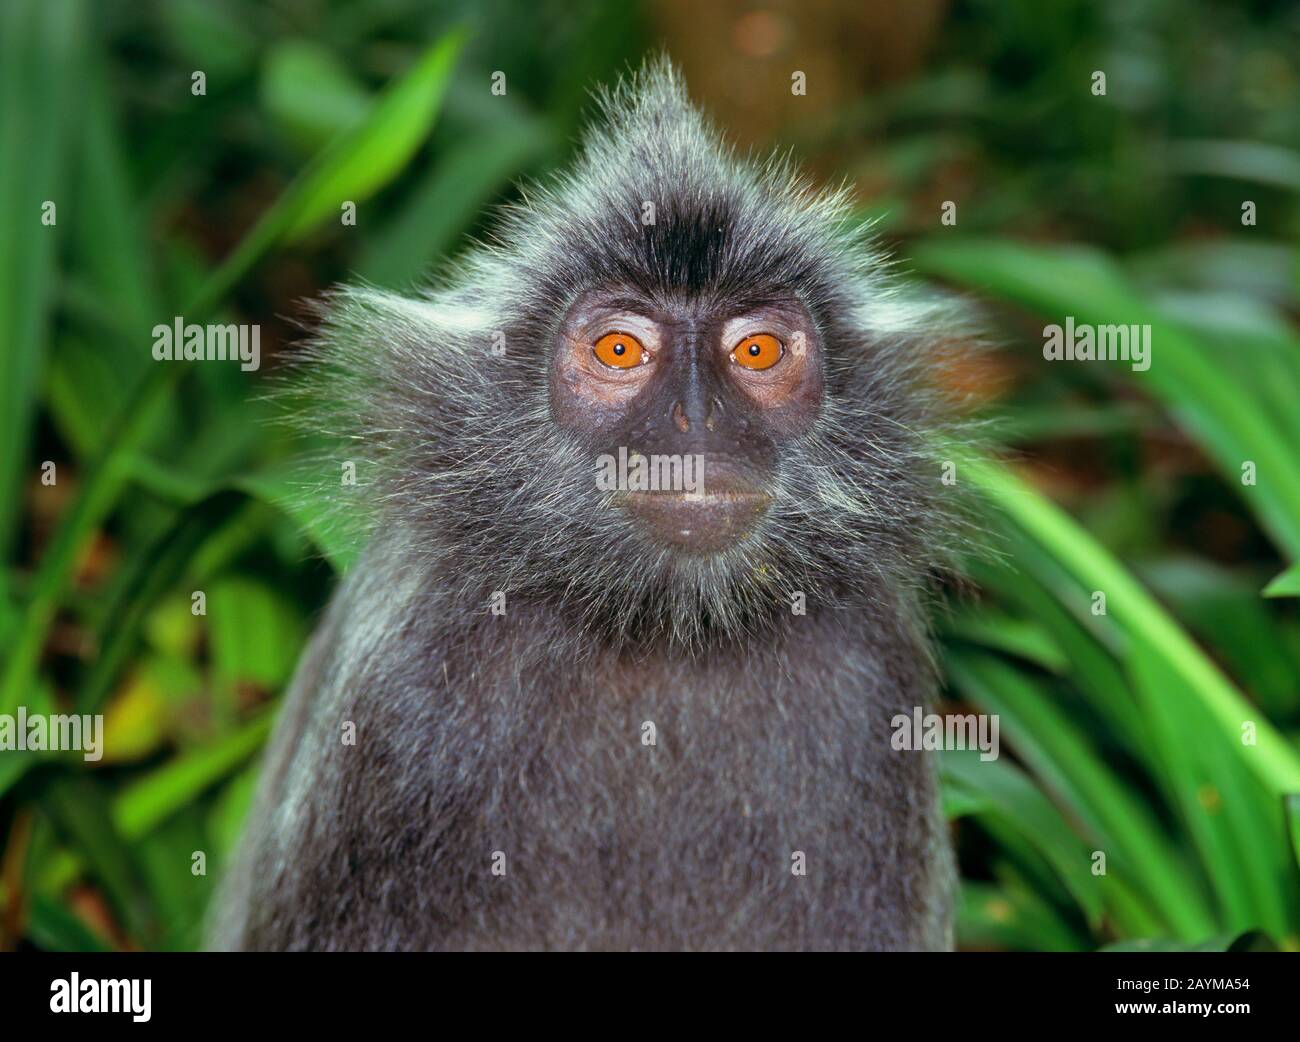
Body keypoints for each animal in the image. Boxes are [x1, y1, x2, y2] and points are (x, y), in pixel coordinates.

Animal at [210, 56, 967, 951]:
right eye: (618, 348)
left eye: (756, 350)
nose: (697, 421)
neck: (659, 632)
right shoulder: (396, 687)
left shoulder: (871, 677)